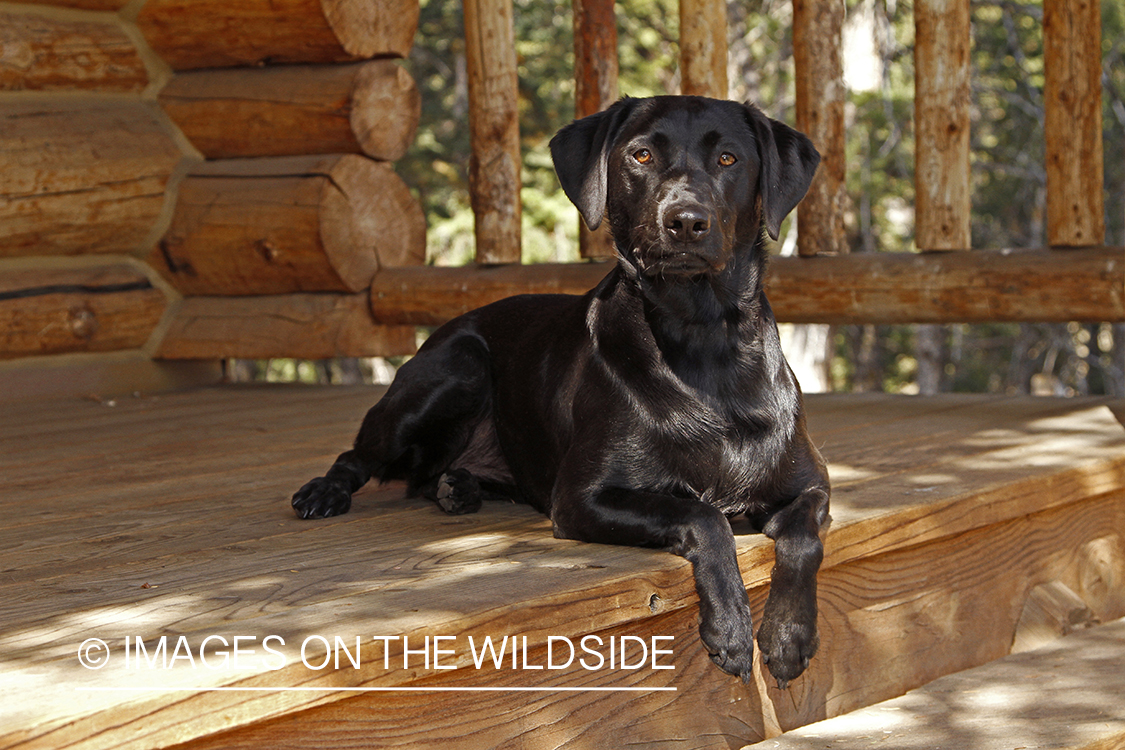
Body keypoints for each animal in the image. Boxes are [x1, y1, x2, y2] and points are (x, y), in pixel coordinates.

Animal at [294, 95, 832, 688]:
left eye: (730, 159)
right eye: (642, 155)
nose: (686, 221)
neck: (703, 343)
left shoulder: (811, 487)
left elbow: (803, 538)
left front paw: (788, 635)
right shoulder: (580, 499)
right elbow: (703, 515)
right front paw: (732, 627)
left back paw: (459, 487)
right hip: (451, 372)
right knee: (357, 454)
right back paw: (326, 493)